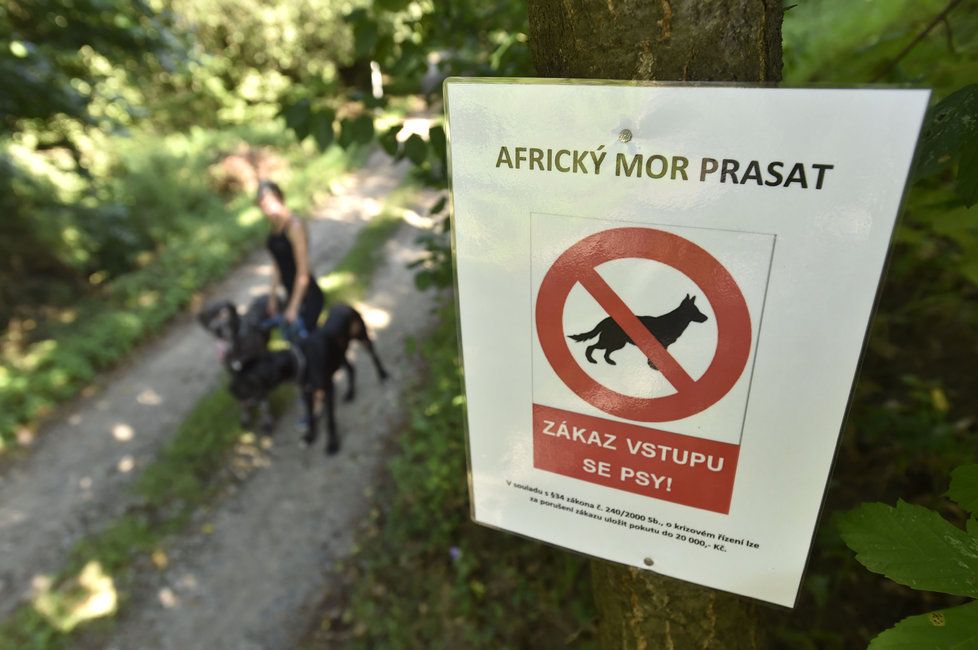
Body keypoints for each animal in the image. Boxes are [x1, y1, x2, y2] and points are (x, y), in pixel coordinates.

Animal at [227, 302, 386, 454]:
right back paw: (350, 393)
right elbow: (309, 416)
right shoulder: (307, 393)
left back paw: (383, 375)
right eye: (237, 372)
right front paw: (309, 437)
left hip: (362, 337)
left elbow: (330, 420)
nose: (231, 390)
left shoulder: (328, 389)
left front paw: (332, 444)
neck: (301, 360)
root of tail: (344, 306)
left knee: (374, 356)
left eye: (246, 379)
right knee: (351, 368)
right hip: (340, 354)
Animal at [568, 294, 704, 370]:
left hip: (617, 343)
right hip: (610, 341)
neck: (674, 320)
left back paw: (610, 362)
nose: (706, 318)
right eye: (696, 311)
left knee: (606, 353)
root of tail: (606, 319)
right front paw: (654, 368)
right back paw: (591, 361)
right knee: (590, 347)